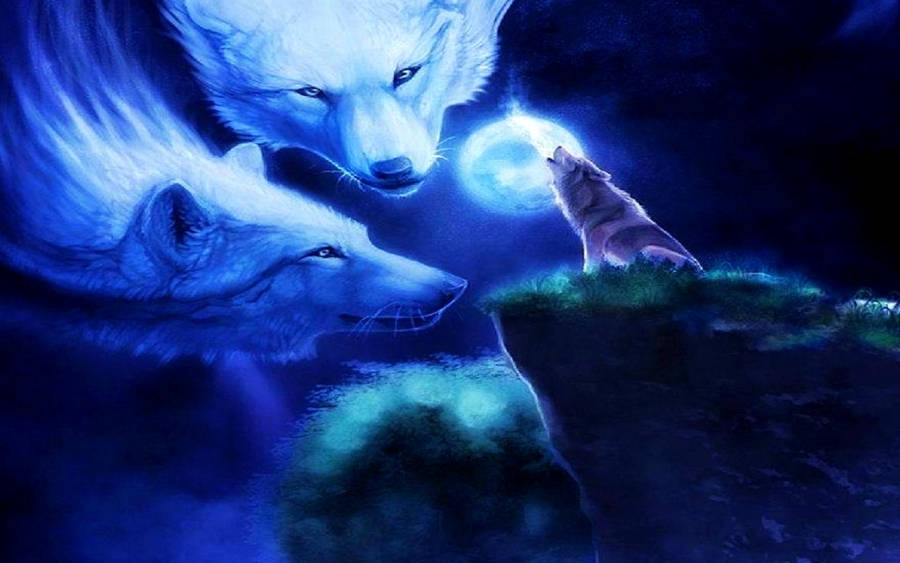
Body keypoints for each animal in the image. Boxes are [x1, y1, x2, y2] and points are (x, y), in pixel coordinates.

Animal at [547, 147, 702, 272]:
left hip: (648, 249)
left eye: (575, 159)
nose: (559, 145)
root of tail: (702, 273)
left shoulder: (592, 247)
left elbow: (589, 270)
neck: (591, 202)